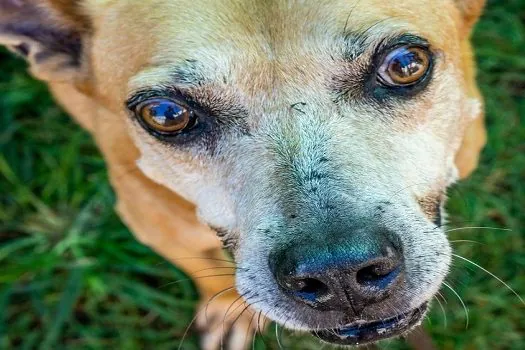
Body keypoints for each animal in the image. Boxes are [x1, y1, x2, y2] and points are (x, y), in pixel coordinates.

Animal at [0, 1, 486, 348]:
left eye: (405, 64)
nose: (339, 273)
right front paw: (228, 308)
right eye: (166, 114)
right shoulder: (151, 220)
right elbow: (205, 269)